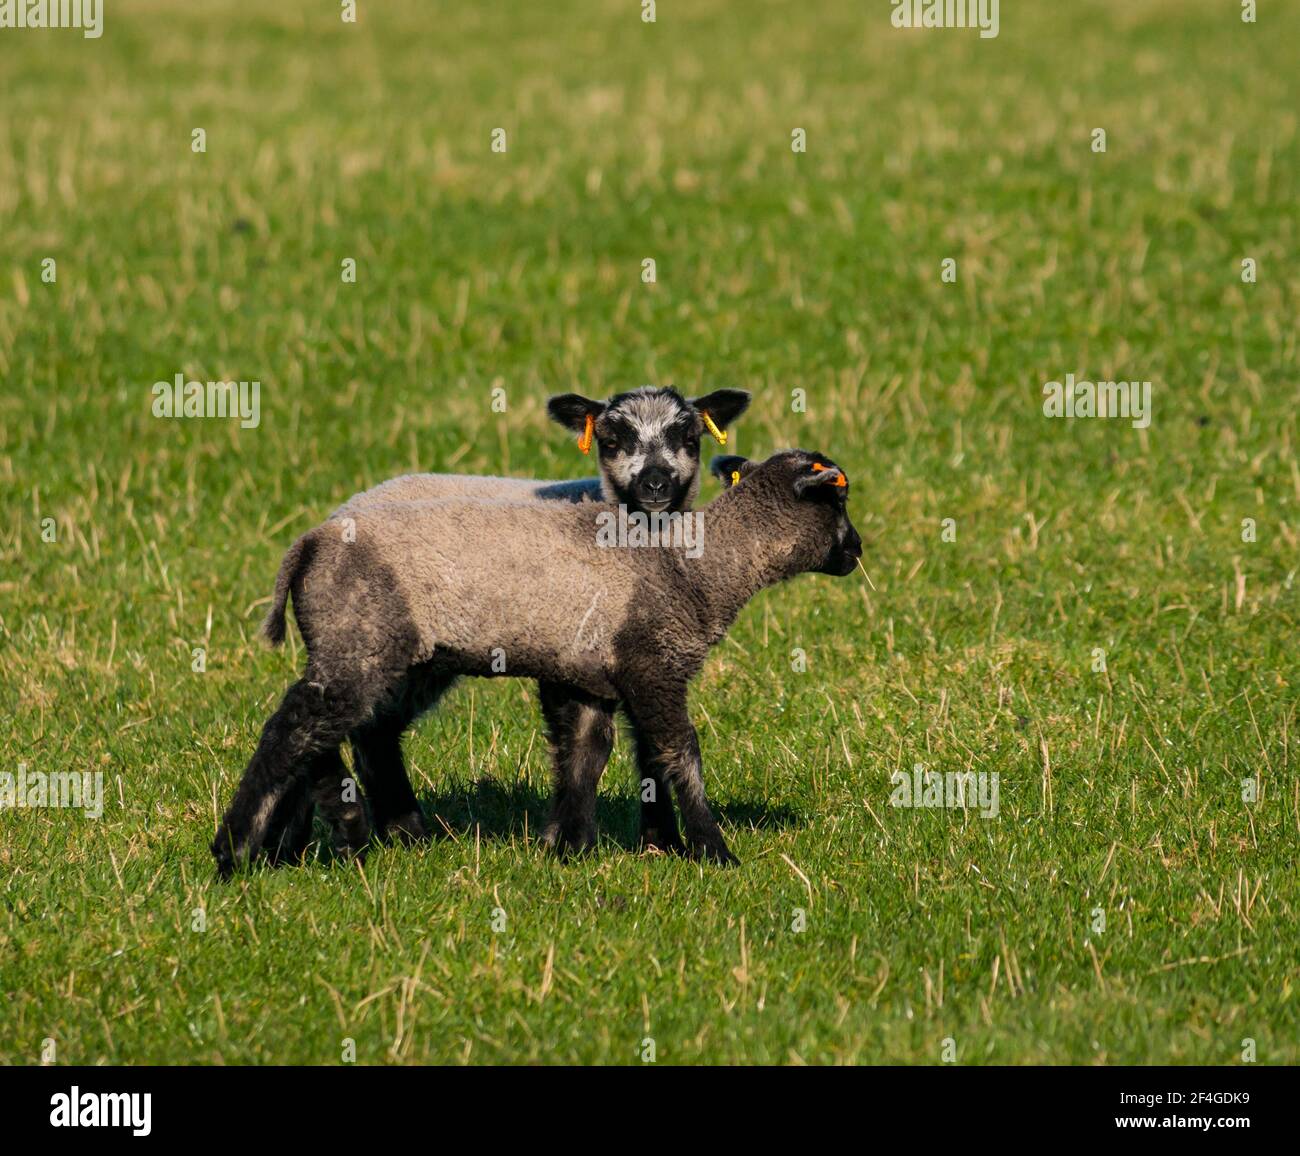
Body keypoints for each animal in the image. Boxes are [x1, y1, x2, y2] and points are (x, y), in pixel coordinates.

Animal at [212, 448, 862, 877]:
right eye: (838, 498)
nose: (857, 551)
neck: (696, 568)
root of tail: (311, 541)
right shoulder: (653, 664)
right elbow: (680, 753)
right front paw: (713, 851)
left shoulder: (590, 673)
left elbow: (590, 754)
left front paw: (571, 845)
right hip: (362, 640)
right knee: (296, 727)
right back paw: (240, 849)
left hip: (398, 656)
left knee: (351, 732)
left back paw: (353, 836)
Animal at [256, 386, 751, 865]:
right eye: (611, 442)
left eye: (689, 438)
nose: (655, 484)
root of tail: (330, 521)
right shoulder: (577, 656)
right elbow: (585, 744)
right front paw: (575, 842)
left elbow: (647, 749)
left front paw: (661, 843)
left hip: (415, 660)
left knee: (373, 731)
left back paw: (383, 835)